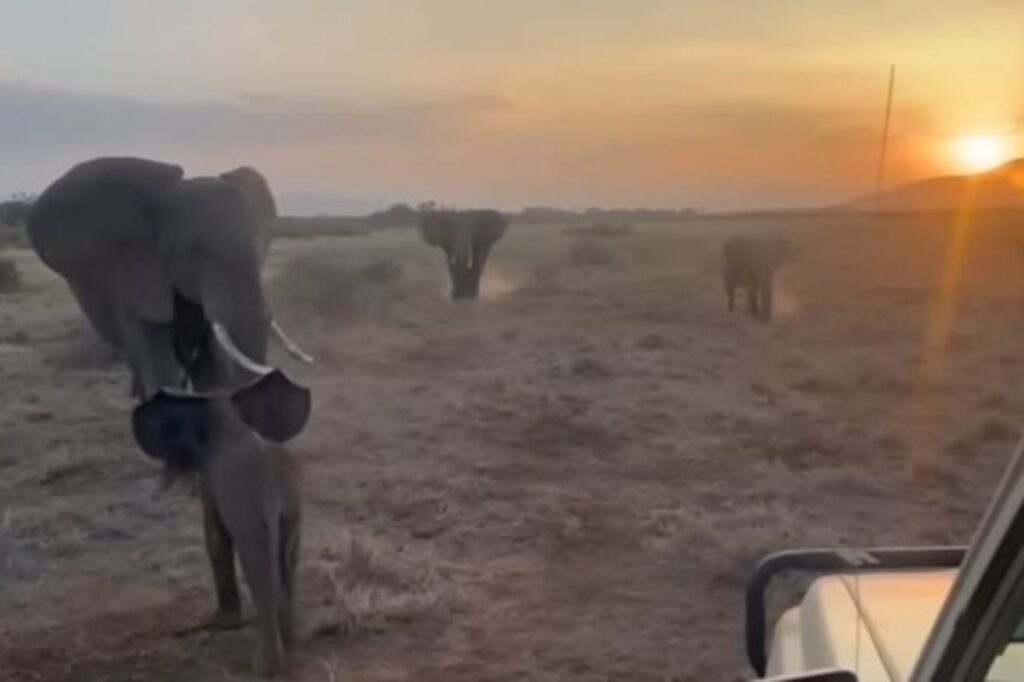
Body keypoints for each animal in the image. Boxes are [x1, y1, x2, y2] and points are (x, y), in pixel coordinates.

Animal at [132, 364, 310, 677]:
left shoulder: (212, 481)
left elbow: (215, 537)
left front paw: (222, 624)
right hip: (291, 513)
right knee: (286, 559)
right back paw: (290, 646)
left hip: (251, 513)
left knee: (255, 559)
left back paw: (264, 668)